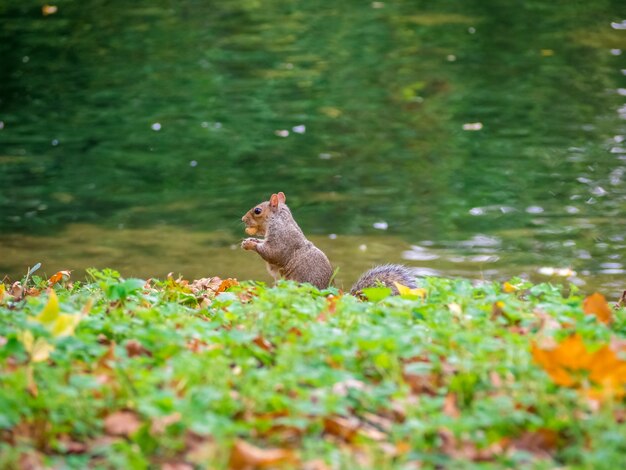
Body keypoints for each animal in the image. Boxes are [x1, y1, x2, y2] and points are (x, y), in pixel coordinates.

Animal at [241, 190, 416, 294]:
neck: (279, 221)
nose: (243, 219)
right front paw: (250, 240)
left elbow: (271, 253)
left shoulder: (282, 241)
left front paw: (251, 244)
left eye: (257, 211)